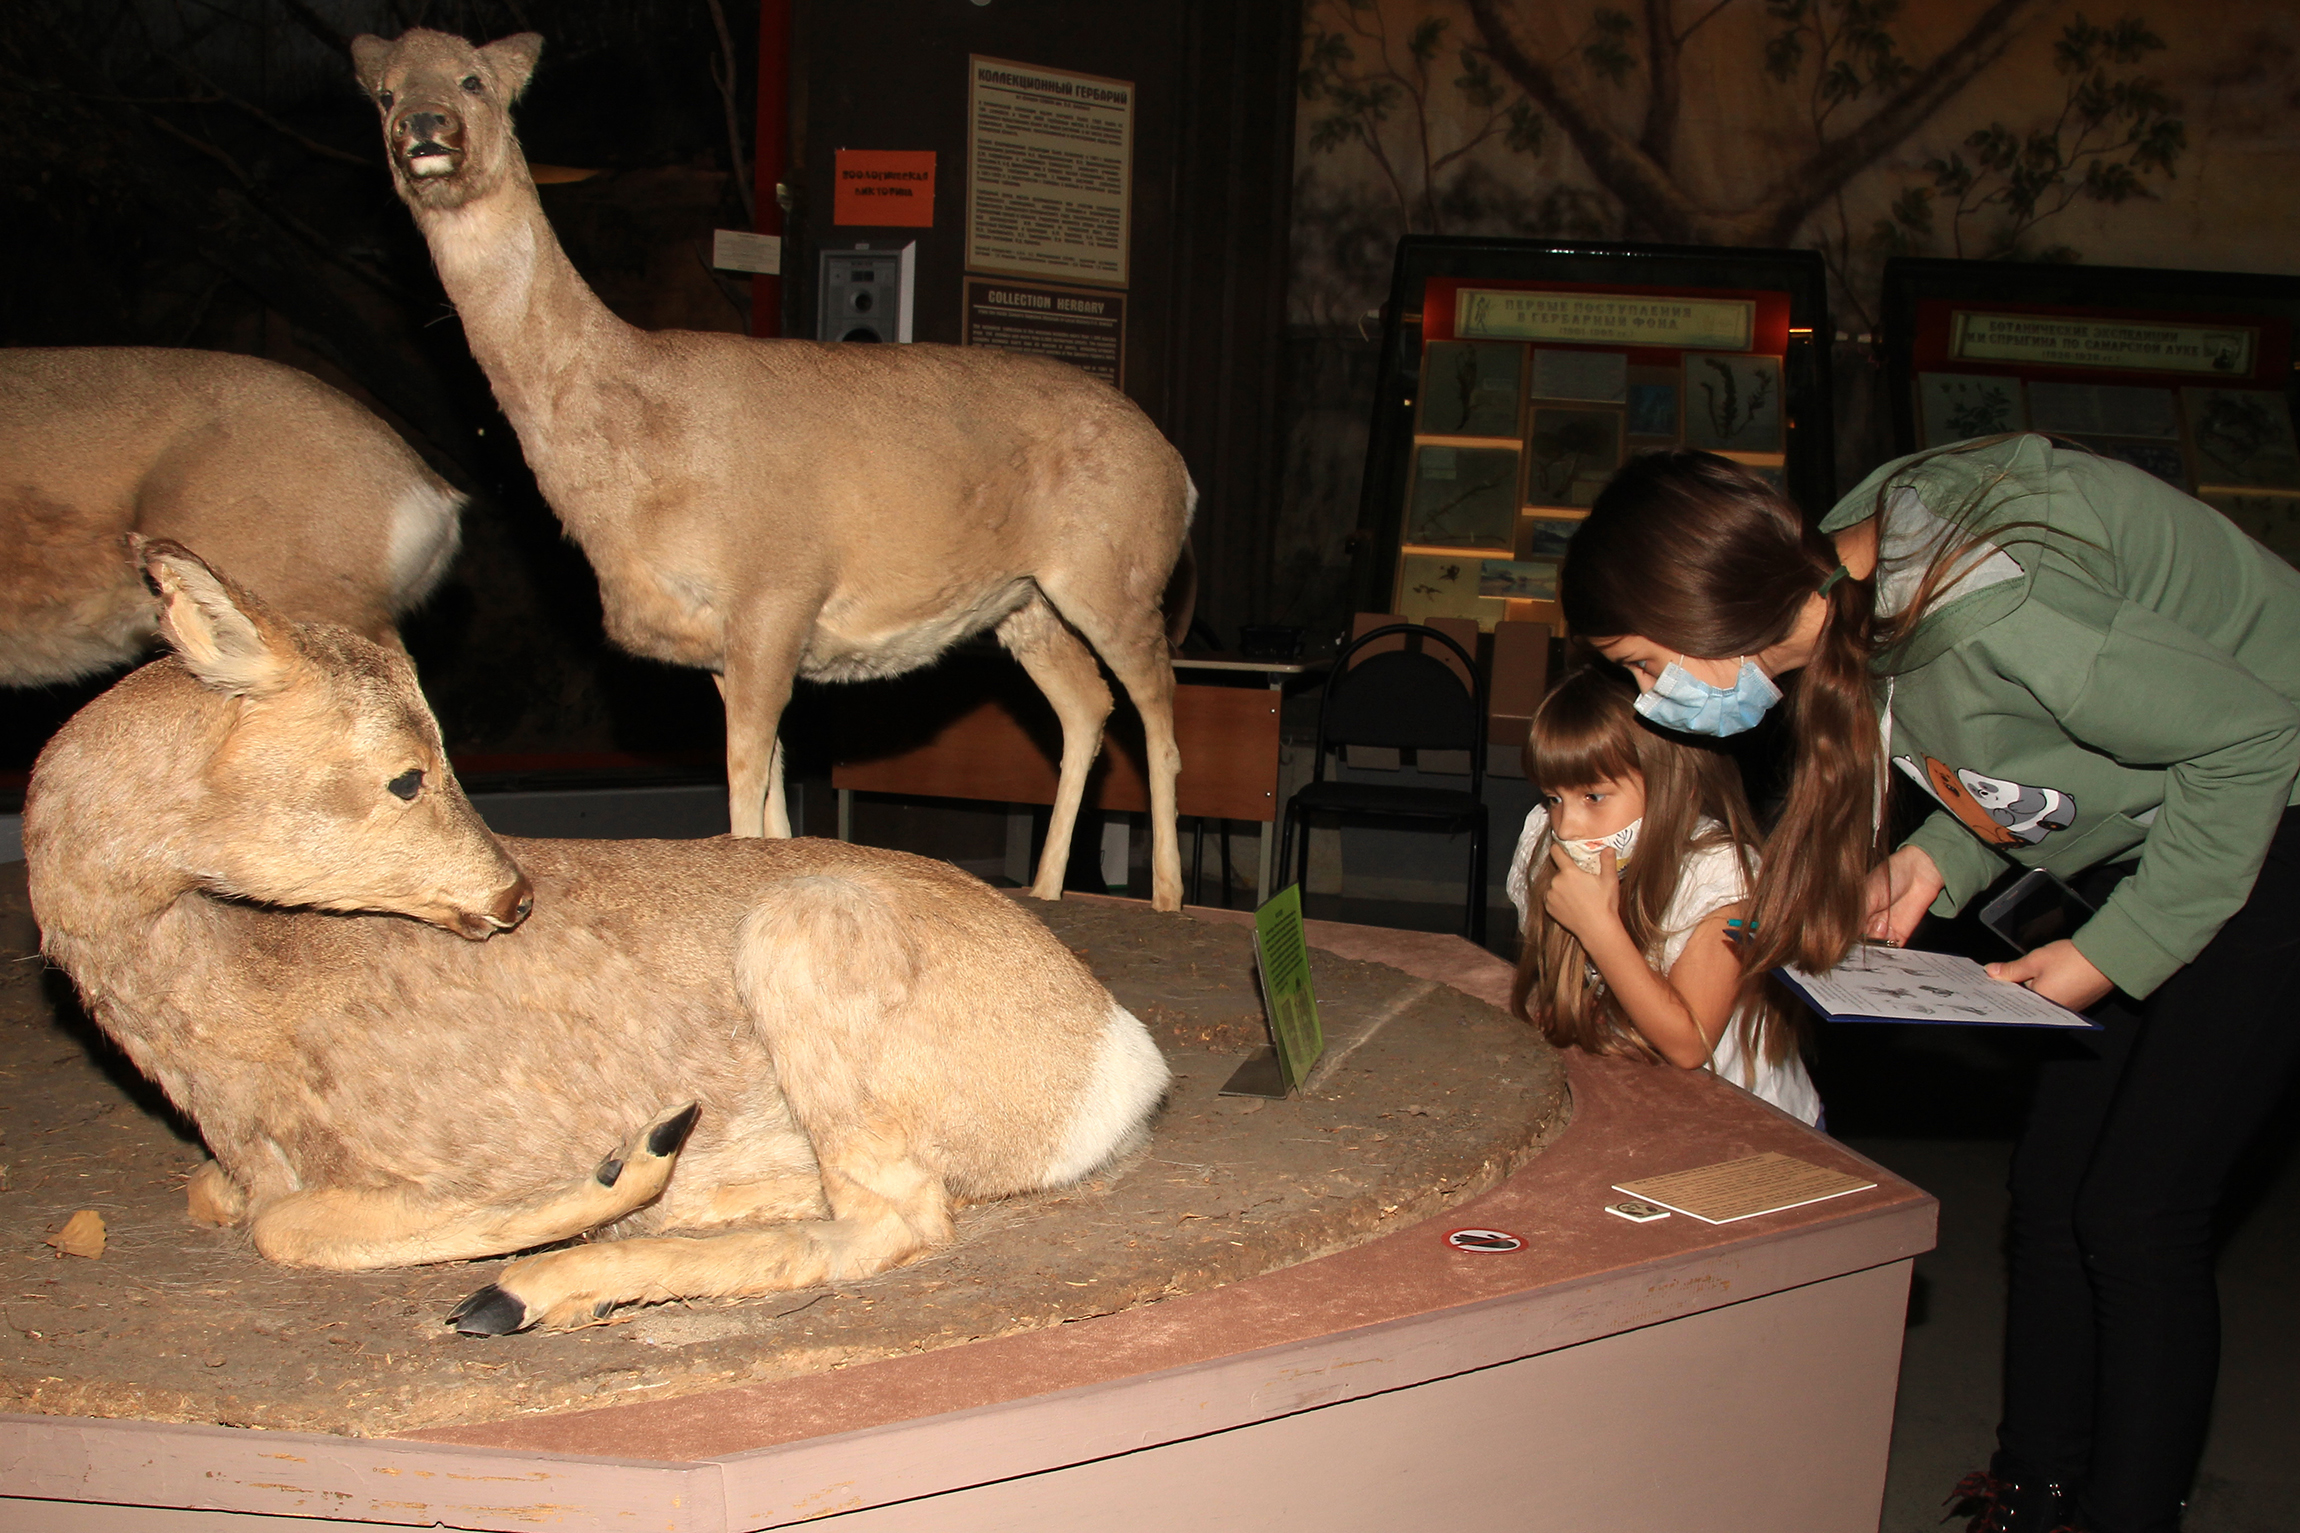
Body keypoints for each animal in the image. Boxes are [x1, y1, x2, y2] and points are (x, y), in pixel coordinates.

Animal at [23, 541, 1170, 1334]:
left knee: (891, 1221)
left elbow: (285, 1226)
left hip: (803, 946)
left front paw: (607, 1180)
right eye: (406, 772)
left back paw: (528, 1289)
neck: (236, 1013)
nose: (510, 893)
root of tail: (1121, 1058)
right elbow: (225, 1202)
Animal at [350, 28, 1195, 912]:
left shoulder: (775, 592)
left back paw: (1168, 894)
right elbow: (771, 790)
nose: (424, 128)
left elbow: (745, 780)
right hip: (1024, 601)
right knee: (1086, 704)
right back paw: (1045, 887)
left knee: (1158, 712)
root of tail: (1178, 469)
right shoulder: (725, 644)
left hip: (1116, 573)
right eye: (383, 91)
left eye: (473, 80)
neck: (638, 444)